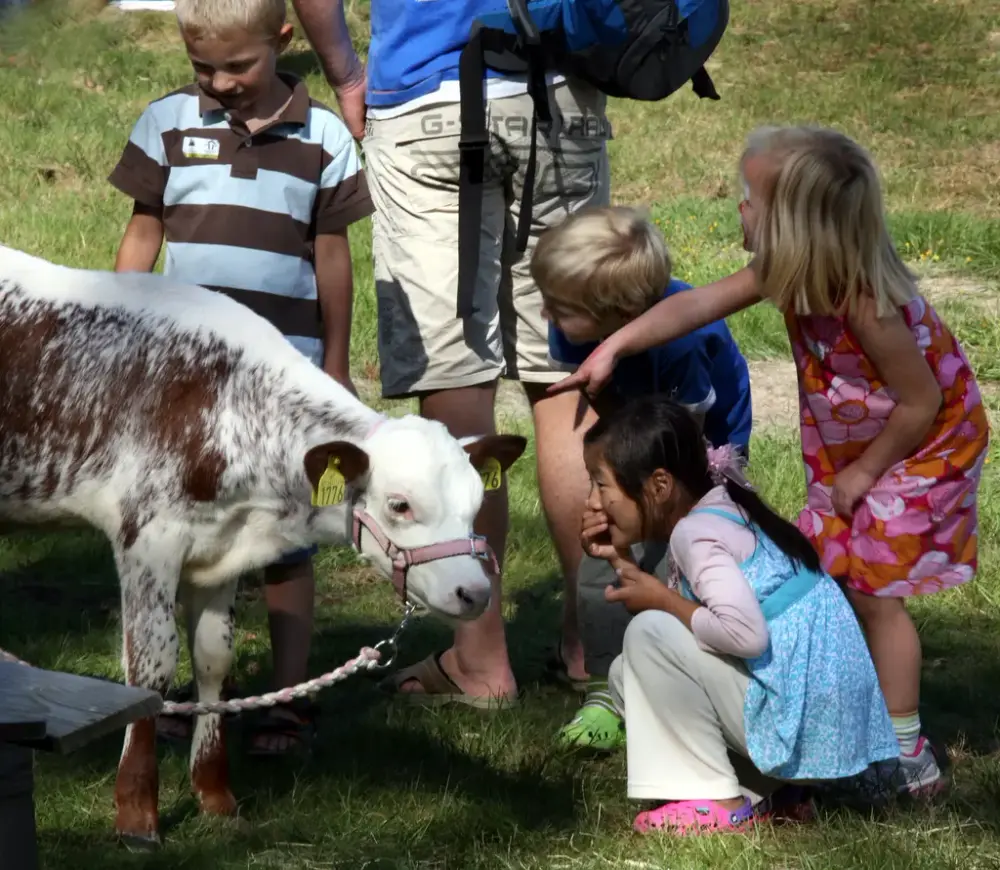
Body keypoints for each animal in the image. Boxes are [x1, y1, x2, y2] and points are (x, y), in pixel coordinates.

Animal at [0, 245, 532, 852]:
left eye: (475, 504)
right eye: (400, 504)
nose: (474, 591)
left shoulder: (217, 553)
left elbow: (212, 658)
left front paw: (215, 796)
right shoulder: (146, 539)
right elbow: (150, 669)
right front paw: (136, 813)